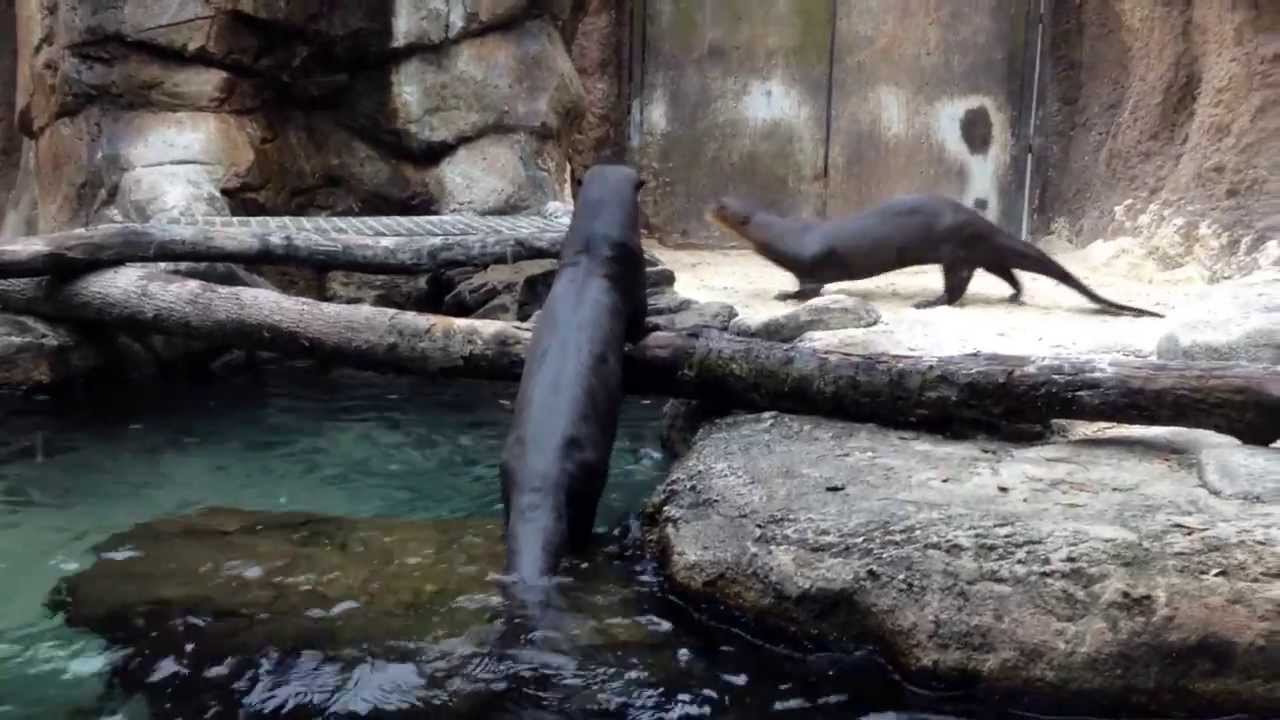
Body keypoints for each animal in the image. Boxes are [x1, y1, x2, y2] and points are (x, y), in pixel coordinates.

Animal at [707, 193, 1163, 318]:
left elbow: (810, 288)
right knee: (1006, 271)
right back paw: (1014, 295)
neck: (785, 233)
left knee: (957, 288)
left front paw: (785, 295)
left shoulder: (811, 264)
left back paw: (929, 301)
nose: (712, 203)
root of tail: (984, 224)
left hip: (955, 250)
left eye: (725, 208)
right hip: (982, 251)